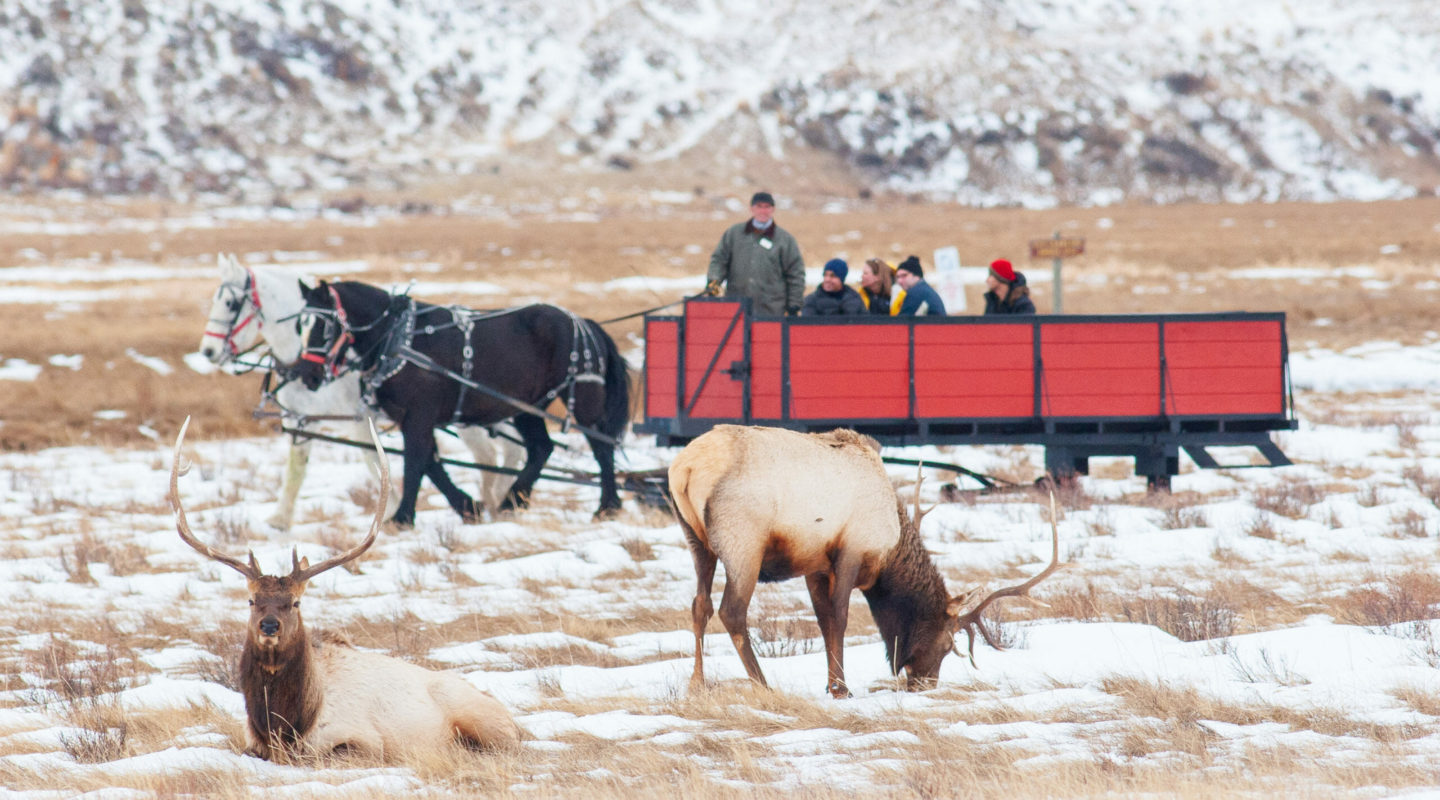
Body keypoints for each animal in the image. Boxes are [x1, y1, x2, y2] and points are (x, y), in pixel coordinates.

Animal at [167, 420, 521, 759]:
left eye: (295, 602)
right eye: (252, 600)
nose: (269, 625)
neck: (284, 722)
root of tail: (513, 718)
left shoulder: (363, 740)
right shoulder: (250, 741)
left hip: (484, 722)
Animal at [197, 256, 524, 529]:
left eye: (230, 303)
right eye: (215, 300)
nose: (208, 351)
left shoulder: (361, 419)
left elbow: (375, 460)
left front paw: (392, 510)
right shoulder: (301, 419)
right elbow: (296, 469)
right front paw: (280, 519)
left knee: (494, 452)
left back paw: (496, 497)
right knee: (505, 450)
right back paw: (499, 497)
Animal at [295, 280, 627, 523]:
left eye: (323, 326)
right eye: (300, 325)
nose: (305, 374)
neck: (397, 338)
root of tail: (584, 322)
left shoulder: (419, 414)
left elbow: (416, 461)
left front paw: (402, 517)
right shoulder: (411, 418)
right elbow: (432, 463)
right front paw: (468, 507)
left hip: (582, 401)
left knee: (602, 448)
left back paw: (607, 506)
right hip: (526, 407)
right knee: (541, 448)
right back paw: (512, 502)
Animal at [668, 428, 1065, 696]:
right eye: (948, 645)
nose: (926, 684)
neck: (888, 552)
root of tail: (685, 469)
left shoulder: (815, 563)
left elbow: (823, 620)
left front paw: (831, 683)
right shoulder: (851, 550)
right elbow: (839, 617)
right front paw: (841, 688)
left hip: (696, 540)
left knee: (699, 605)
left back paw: (696, 685)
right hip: (744, 541)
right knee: (732, 611)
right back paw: (763, 684)